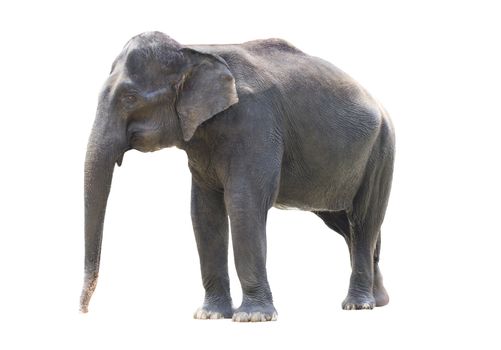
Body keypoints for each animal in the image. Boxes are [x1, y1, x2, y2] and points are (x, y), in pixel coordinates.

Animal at [80, 31, 394, 322]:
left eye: (129, 98)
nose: (84, 310)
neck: (194, 51)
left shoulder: (255, 123)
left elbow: (244, 202)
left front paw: (252, 317)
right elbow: (204, 212)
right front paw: (210, 315)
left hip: (381, 153)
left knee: (363, 221)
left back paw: (357, 305)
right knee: (346, 226)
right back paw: (378, 301)